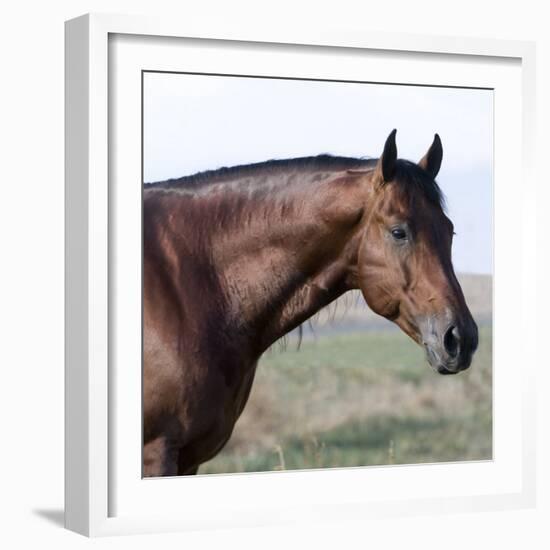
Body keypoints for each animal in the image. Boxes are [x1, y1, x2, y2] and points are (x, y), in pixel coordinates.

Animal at [144, 130, 480, 478]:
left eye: (449, 230)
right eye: (399, 232)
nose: (461, 338)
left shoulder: (190, 460)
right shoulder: (157, 451)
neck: (191, 282)